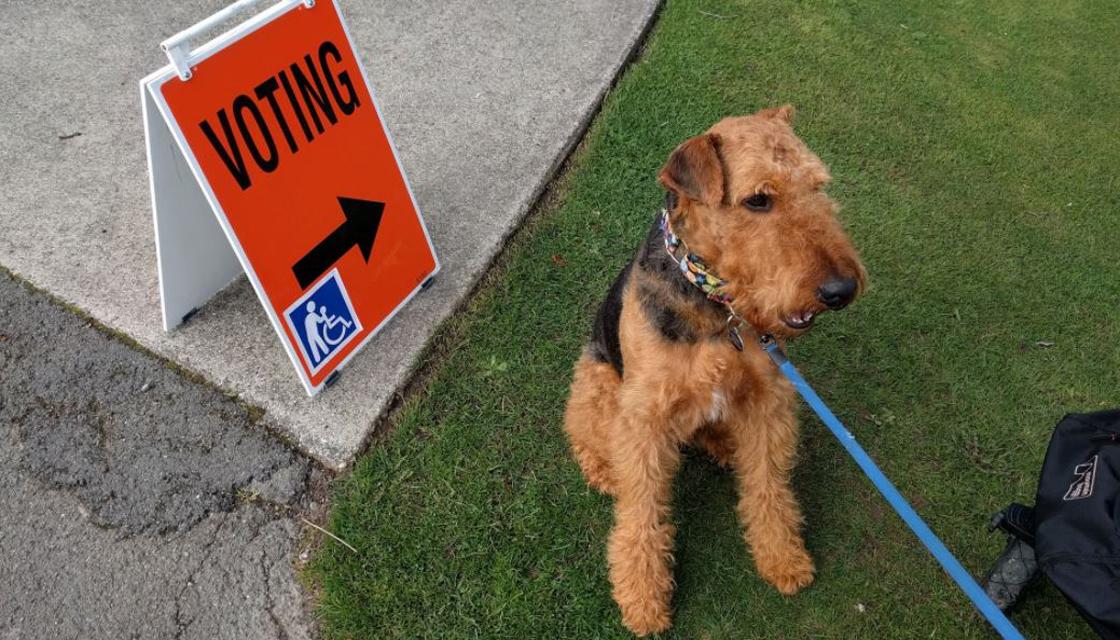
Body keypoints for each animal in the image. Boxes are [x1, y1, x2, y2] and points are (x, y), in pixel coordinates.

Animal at [560, 106, 864, 636]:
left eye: (818, 186)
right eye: (758, 199)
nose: (841, 290)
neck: (717, 308)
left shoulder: (768, 399)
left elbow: (768, 486)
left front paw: (783, 559)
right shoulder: (645, 420)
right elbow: (642, 513)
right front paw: (643, 601)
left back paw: (724, 444)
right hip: (598, 384)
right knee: (582, 431)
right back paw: (603, 471)